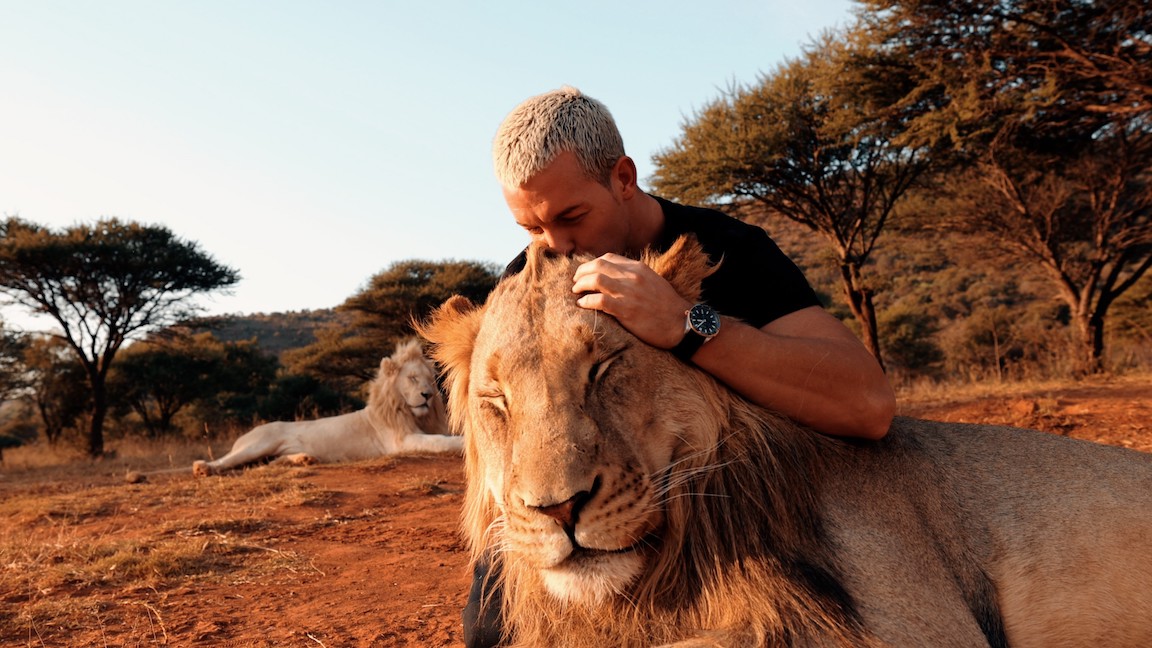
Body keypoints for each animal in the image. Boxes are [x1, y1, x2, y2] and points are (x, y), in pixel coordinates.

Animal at [192, 338, 458, 475]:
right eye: (412, 378)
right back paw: (202, 468)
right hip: (259, 443)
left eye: (430, 380)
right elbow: (439, 442)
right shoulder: (400, 442)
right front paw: (461, 443)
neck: (413, 414)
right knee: (225, 461)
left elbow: (444, 436)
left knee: (270, 462)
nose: (427, 395)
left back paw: (305, 459)